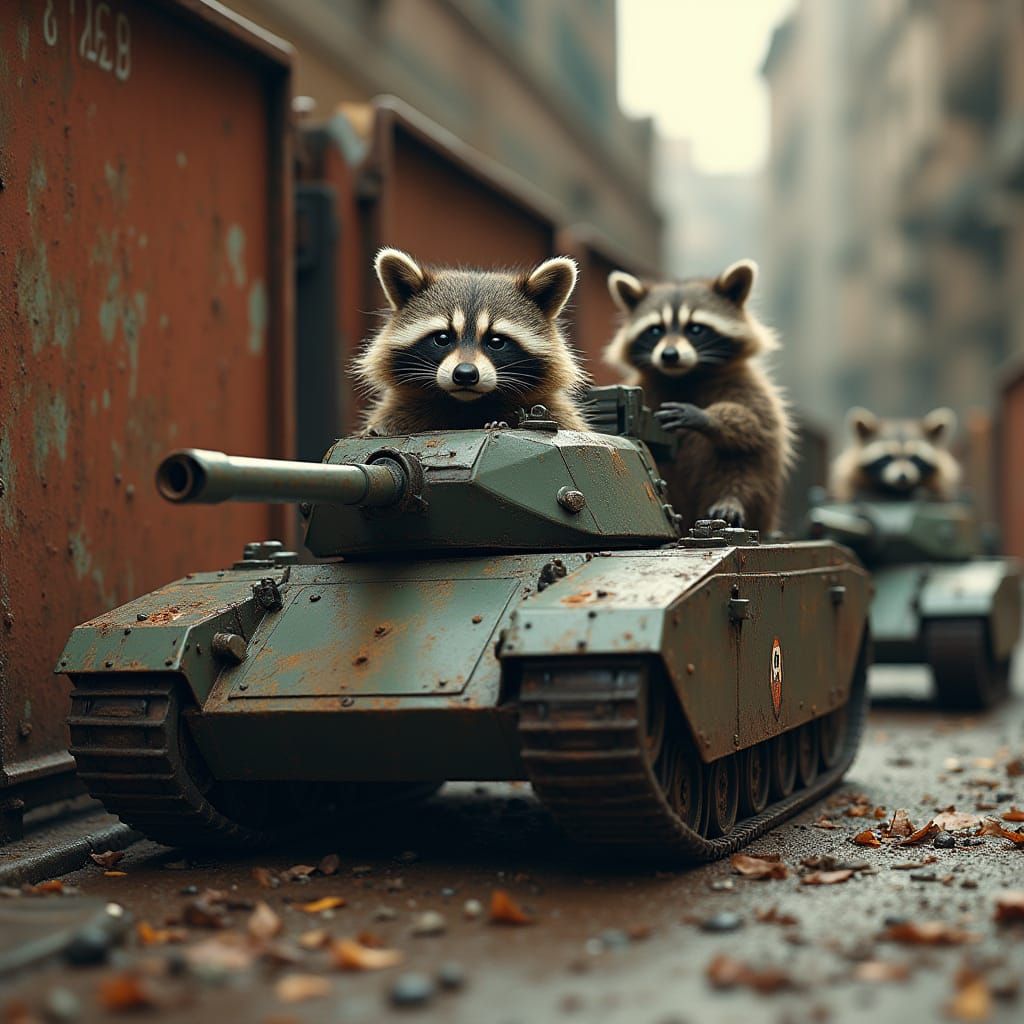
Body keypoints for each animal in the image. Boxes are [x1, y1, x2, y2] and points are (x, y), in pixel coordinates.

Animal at [604, 260, 792, 532]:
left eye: (695, 329)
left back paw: (730, 501)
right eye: (655, 330)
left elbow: (752, 422)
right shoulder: (648, 389)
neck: (686, 375)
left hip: (761, 491)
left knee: (744, 472)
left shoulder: (746, 386)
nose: (669, 355)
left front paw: (705, 416)